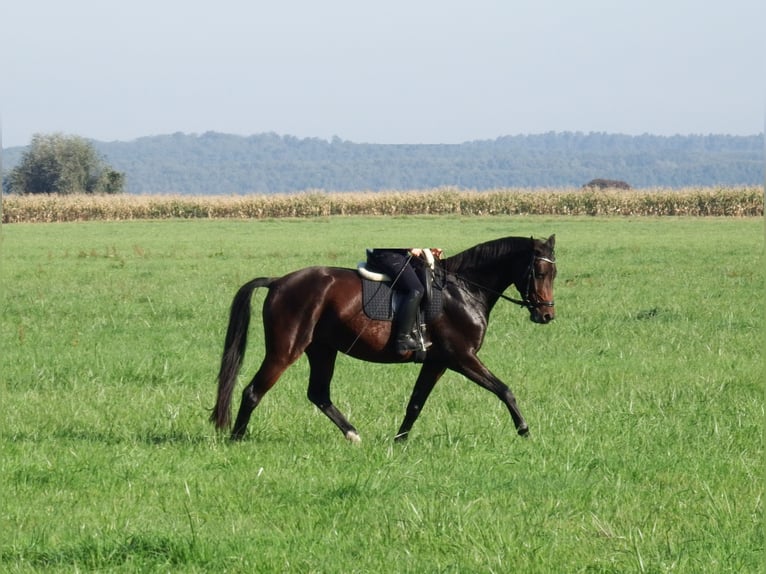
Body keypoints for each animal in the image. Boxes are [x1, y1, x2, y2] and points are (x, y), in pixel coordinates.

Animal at [211, 234, 557, 443]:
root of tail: (279, 282)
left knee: (319, 394)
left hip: (322, 349)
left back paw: (353, 435)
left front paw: (399, 440)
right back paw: (237, 439)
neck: (463, 289)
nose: (546, 315)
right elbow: (504, 389)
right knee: (253, 391)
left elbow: (415, 403)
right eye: (539, 273)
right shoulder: (462, 357)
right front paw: (524, 430)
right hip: (285, 350)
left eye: (554, 273)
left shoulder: (438, 361)